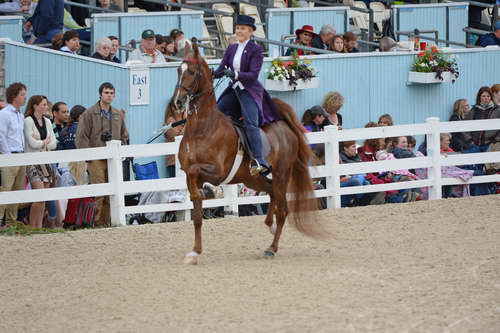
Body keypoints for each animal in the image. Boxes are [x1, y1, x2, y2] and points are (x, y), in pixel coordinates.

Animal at [172, 42, 324, 264]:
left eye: (192, 72)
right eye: (178, 70)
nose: (178, 102)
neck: (201, 130)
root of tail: (283, 125)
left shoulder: (216, 172)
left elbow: (195, 173)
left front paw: (205, 193)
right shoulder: (191, 175)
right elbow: (197, 217)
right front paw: (195, 252)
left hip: (281, 173)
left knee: (283, 210)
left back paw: (272, 248)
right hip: (251, 178)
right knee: (271, 193)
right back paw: (269, 225)